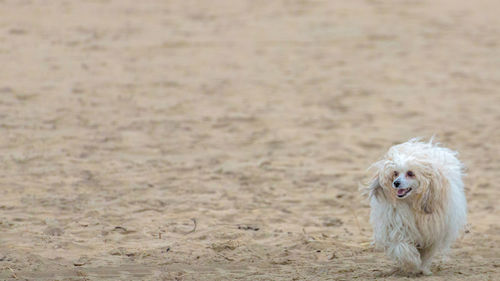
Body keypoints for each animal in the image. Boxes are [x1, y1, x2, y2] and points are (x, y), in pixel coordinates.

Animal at [366, 138, 466, 274]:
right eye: (395, 173)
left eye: (410, 173)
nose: (396, 183)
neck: (412, 202)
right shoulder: (398, 225)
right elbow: (402, 246)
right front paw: (411, 263)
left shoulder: (431, 233)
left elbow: (426, 253)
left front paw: (422, 268)